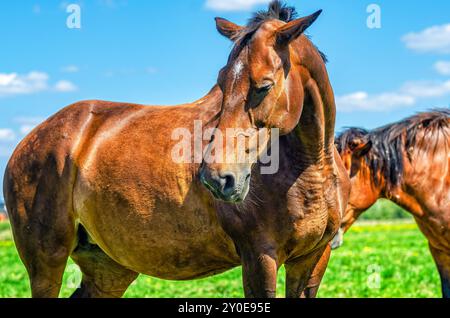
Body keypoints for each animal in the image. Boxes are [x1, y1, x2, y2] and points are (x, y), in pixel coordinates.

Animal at [2, 0, 348, 298]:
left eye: (264, 86)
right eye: (222, 83)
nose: (217, 179)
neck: (308, 167)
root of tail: (30, 140)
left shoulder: (313, 259)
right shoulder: (260, 257)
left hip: (108, 267)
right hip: (47, 262)